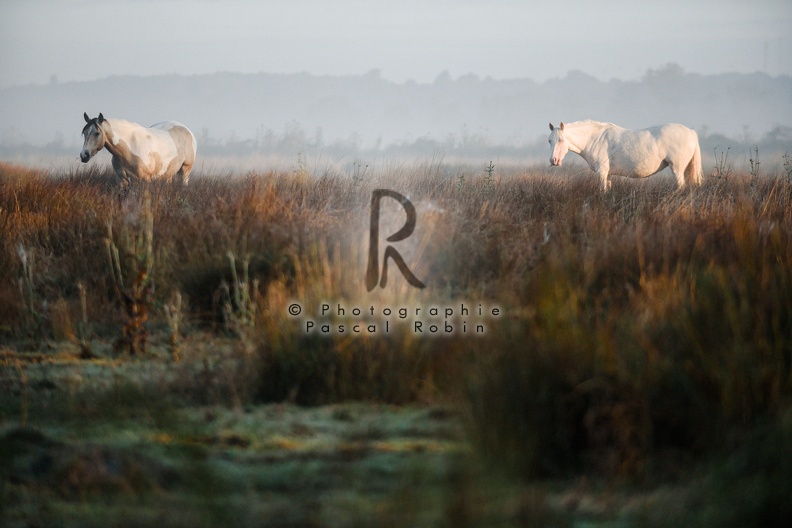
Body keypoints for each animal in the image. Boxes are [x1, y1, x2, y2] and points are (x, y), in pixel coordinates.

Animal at [548, 120, 704, 192]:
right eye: (549, 140)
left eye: (561, 140)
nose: (554, 160)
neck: (595, 138)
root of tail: (690, 132)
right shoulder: (608, 174)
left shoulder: (601, 172)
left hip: (677, 169)